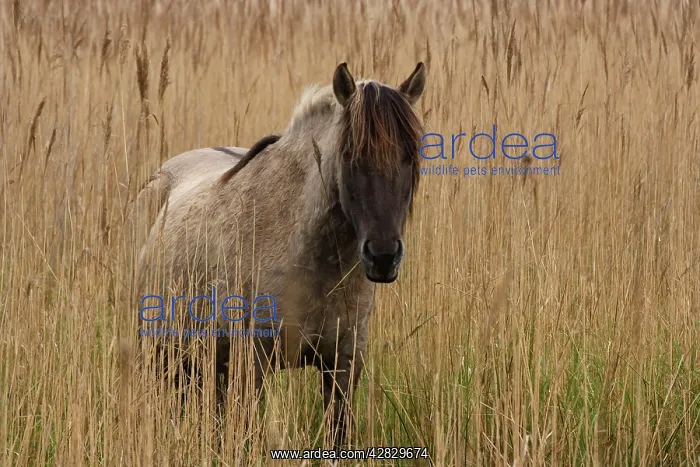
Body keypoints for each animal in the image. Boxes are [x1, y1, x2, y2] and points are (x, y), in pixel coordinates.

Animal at [131, 61, 426, 450]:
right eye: (350, 156)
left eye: (410, 156)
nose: (383, 256)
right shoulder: (250, 366)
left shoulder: (343, 366)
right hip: (164, 356)